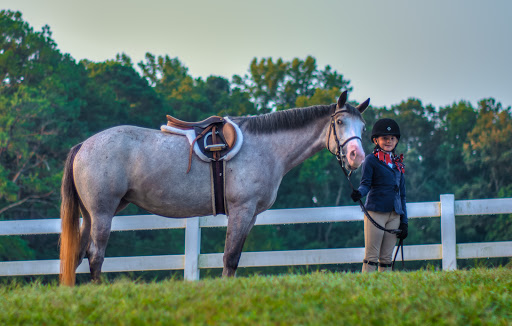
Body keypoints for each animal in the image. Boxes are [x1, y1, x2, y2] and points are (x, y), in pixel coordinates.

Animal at [60, 90, 368, 286]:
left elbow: (235, 257)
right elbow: (230, 258)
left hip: (90, 215)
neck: (265, 147)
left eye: (363, 127)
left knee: (77, 253)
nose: (357, 157)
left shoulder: (250, 215)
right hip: (102, 213)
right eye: (340, 121)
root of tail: (83, 146)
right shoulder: (241, 210)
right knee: (95, 255)